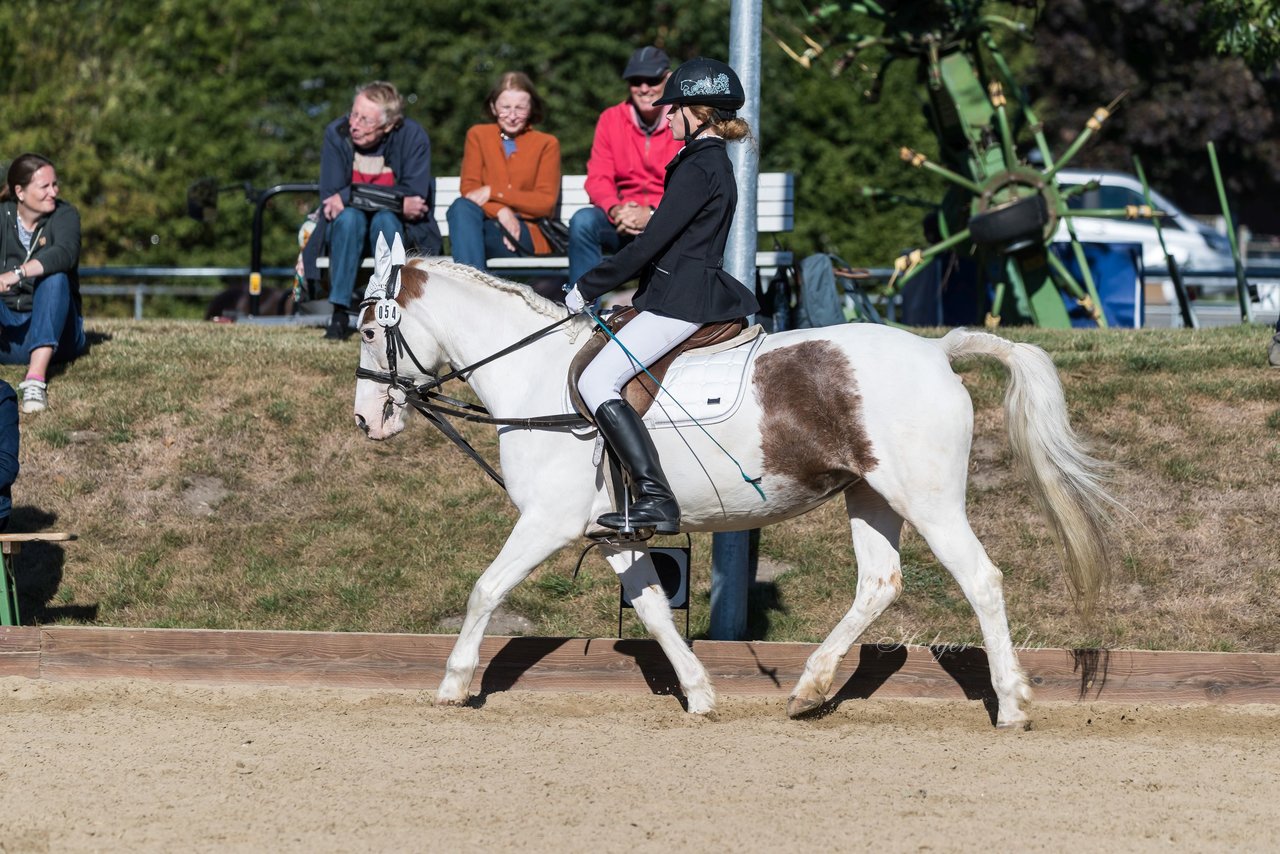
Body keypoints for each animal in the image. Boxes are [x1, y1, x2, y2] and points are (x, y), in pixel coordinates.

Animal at [355, 235, 1116, 727]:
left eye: (366, 329)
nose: (367, 420)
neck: (533, 374)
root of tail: (936, 349)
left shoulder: (548, 520)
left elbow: (485, 589)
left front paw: (454, 684)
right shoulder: (613, 534)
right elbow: (655, 610)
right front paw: (699, 693)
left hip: (927, 500)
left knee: (981, 579)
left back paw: (1011, 704)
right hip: (871, 495)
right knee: (879, 583)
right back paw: (809, 689)